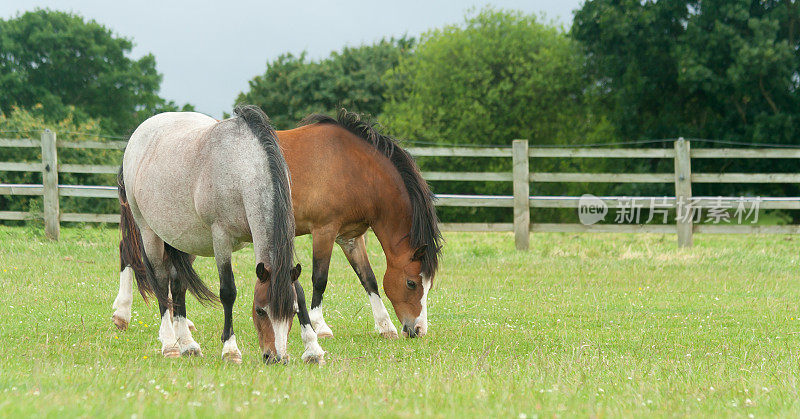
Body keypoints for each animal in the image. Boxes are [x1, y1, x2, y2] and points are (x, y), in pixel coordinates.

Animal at [113, 105, 324, 364]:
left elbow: (300, 291)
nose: (275, 357)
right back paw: (170, 344)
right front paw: (230, 349)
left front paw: (313, 348)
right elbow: (228, 292)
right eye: (260, 310)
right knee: (161, 282)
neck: (241, 166)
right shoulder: (221, 238)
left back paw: (188, 344)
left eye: (292, 312)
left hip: (186, 239)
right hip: (149, 233)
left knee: (177, 285)